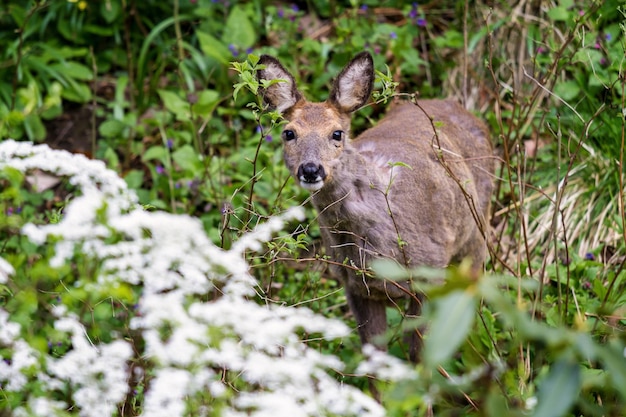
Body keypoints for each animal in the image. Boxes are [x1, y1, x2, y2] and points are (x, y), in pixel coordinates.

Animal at [256, 52, 490, 362]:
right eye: (289, 133)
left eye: (337, 133)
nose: (311, 169)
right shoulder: (354, 285)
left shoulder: (431, 272)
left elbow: (420, 355)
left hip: (475, 233)